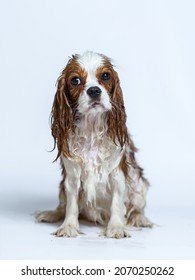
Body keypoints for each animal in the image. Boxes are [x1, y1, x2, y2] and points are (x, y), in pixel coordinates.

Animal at [36, 50, 152, 238]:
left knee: (136, 208)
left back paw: (141, 219)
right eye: (75, 80)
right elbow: (71, 205)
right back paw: (51, 214)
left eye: (105, 76)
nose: (94, 90)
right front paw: (68, 226)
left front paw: (116, 227)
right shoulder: (72, 176)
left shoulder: (116, 173)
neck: (91, 128)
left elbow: (117, 203)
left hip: (139, 184)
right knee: (62, 205)